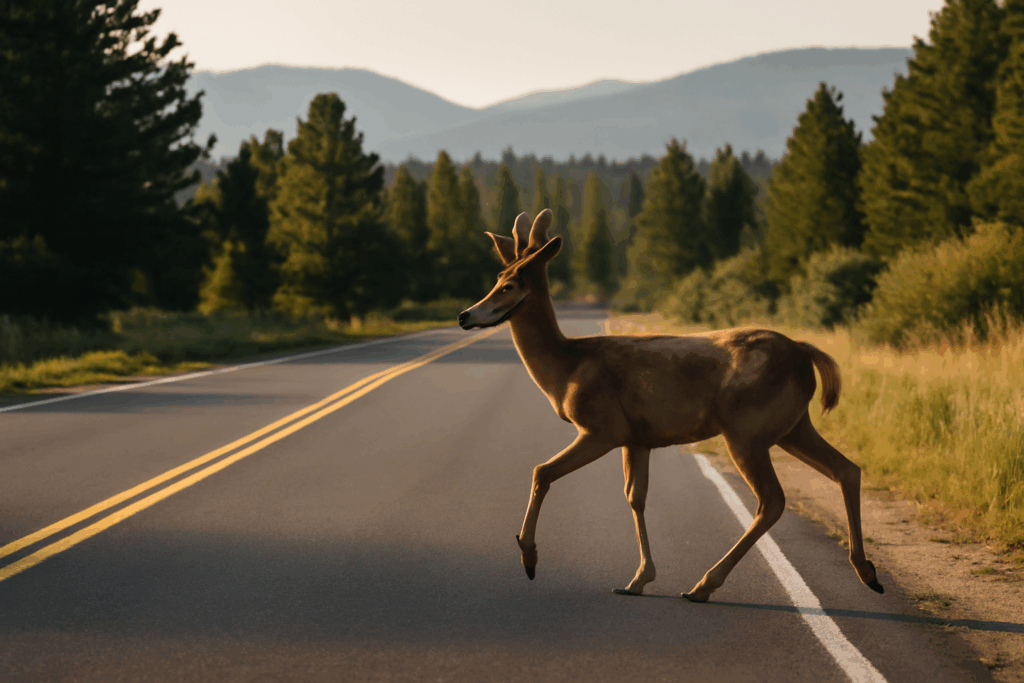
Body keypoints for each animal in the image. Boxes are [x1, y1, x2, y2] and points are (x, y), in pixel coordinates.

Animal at [457, 209, 884, 603]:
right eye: (496, 278)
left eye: (508, 285)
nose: (464, 315)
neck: (567, 368)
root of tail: (803, 353)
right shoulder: (637, 438)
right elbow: (635, 496)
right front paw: (638, 578)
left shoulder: (601, 427)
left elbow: (541, 472)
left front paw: (528, 556)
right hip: (792, 426)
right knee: (846, 469)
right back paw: (867, 571)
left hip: (746, 429)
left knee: (773, 500)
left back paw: (703, 585)